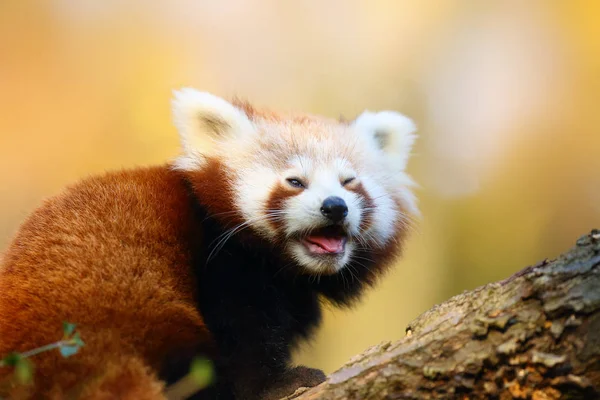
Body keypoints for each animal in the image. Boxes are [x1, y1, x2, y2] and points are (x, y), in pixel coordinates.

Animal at [0, 89, 418, 398]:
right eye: (295, 182)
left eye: (349, 182)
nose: (334, 207)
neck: (282, 266)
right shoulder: (223, 264)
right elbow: (244, 334)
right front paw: (279, 384)